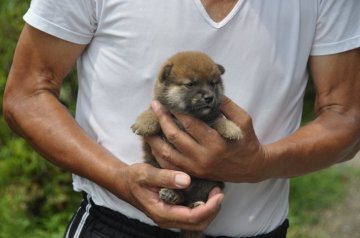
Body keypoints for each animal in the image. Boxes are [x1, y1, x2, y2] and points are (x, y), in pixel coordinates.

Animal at [131, 51, 243, 237]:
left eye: (212, 83)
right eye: (190, 84)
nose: (209, 97)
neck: (188, 115)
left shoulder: (211, 118)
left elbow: (219, 119)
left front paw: (232, 128)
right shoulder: (162, 110)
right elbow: (153, 111)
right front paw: (144, 122)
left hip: (207, 184)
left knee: (193, 198)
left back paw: (195, 204)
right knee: (181, 197)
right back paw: (172, 195)